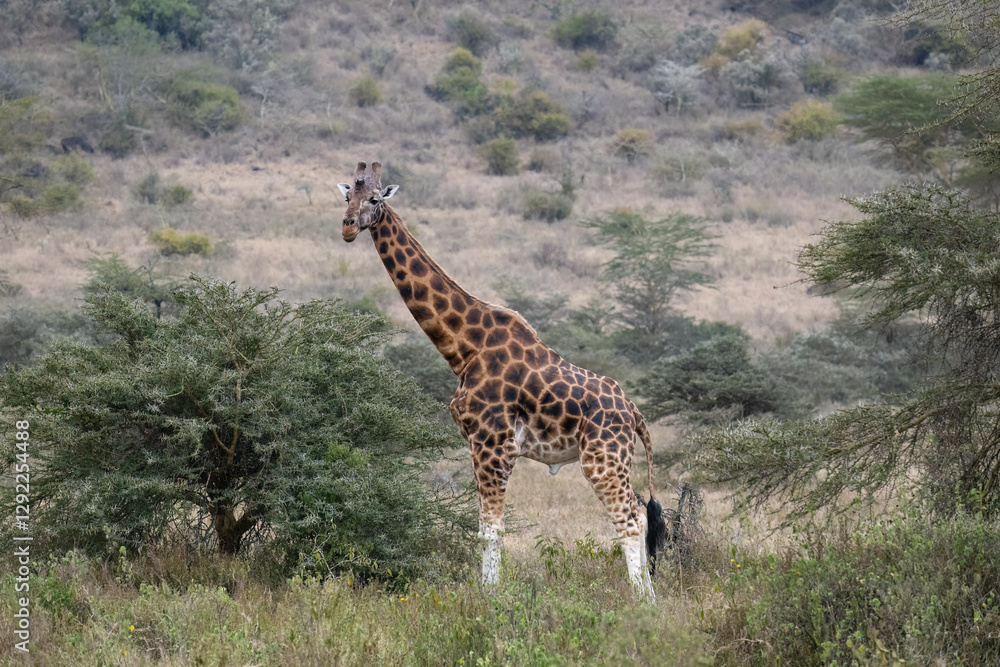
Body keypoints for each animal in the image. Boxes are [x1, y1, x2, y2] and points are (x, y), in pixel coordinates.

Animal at [339, 160, 666, 601]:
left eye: (374, 199)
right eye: (347, 196)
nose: (348, 227)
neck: (464, 348)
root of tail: (633, 412)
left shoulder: (493, 445)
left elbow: (490, 530)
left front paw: (491, 597)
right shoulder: (480, 445)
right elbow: (485, 528)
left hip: (603, 457)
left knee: (628, 519)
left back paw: (642, 603)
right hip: (615, 458)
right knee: (639, 514)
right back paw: (649, 596)